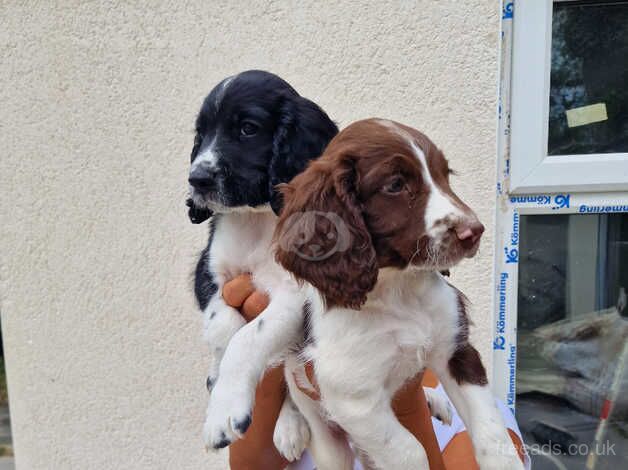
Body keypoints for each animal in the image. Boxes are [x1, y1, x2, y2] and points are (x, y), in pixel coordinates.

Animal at [188, 70, 340, 458]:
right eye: (201, 134)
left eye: (247, 129)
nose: (196, 179)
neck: (255, 219)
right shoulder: (208, 271)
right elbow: (222, 323)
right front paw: (217, 366)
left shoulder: (295, 296)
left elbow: (248, 339)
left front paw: (223, 412)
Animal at [276, 119, 524, 468]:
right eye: (395, 185)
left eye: (445, 175)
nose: (473, 232)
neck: (400, 289)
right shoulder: (353, 396)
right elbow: (410, 450)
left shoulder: (457, 352)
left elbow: (493, 435)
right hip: (327, 437)